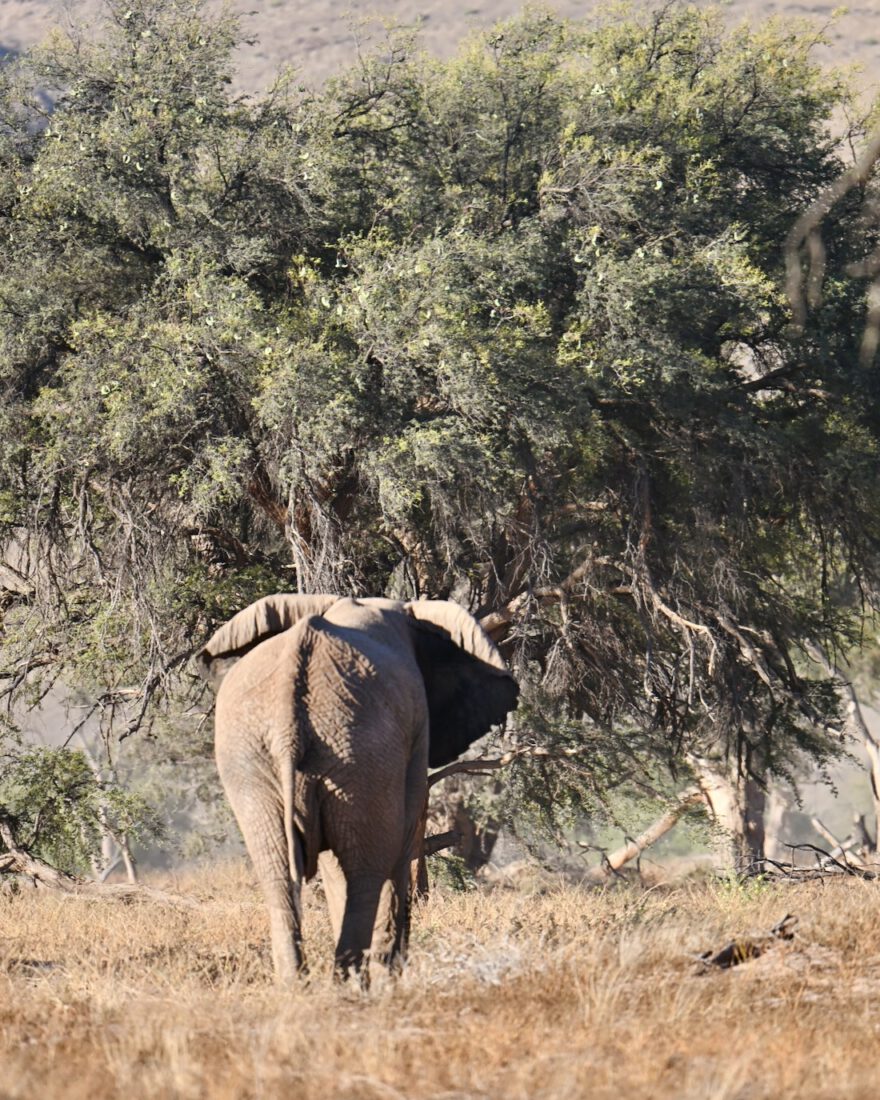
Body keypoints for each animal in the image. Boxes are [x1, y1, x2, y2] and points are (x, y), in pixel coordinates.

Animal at [196, 594, 518, 982]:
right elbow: (401, 840)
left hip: (258, 755)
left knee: (280, 871)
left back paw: (301, 987)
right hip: (355, 752)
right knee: (365, 869)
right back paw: (359, 982)